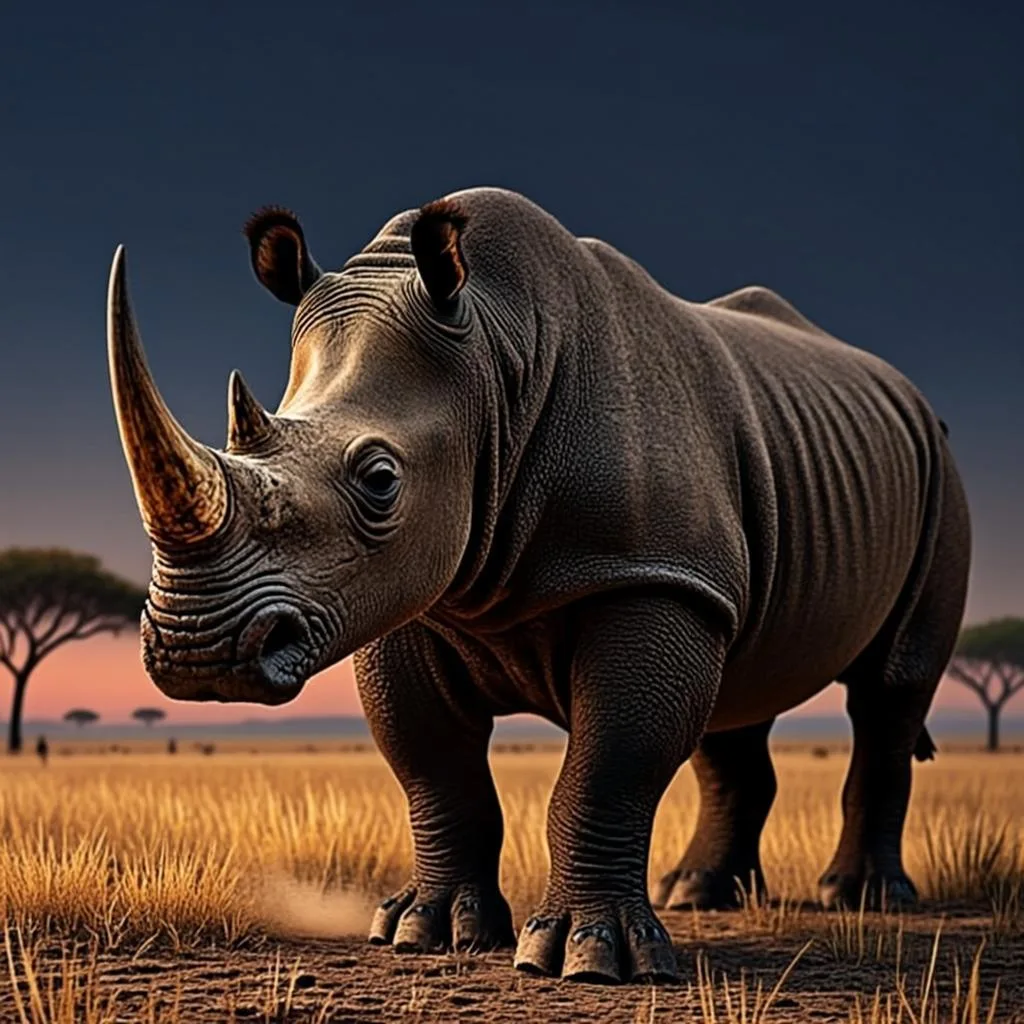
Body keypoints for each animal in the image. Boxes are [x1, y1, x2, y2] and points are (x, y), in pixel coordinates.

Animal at [106, 187, 971, 984]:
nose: (196, 655)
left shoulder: (649, 576)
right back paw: (698, 893)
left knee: (889, 693)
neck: (494, 362)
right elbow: (431, 764)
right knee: (737, 698)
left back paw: (861, 899)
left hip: (938, 471)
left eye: (380, 479)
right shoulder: (414, 595)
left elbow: (610, 763)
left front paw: (590, 960)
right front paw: (427, 932)